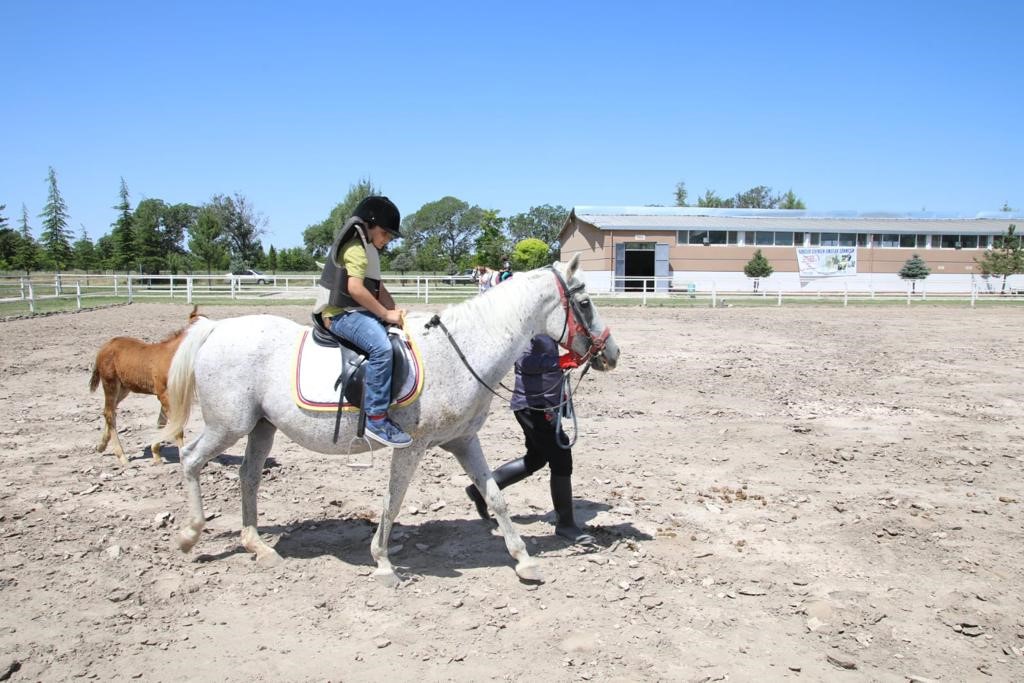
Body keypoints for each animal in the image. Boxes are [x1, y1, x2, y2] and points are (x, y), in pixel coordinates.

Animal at [91, 309, 204, 464]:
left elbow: (161, 422)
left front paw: (156, 453)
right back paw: (122, 456)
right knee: (109, 413)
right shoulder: (164, 394)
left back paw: (101, 446)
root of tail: (104, 347)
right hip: (110, 383)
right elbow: (176, 427)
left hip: (124, 389)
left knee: (109, 411)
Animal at [160, 255, 618, 589]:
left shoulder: (464, 441)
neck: (460, 351)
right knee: (190, 459)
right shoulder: (411, 447)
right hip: (228, 425)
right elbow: (392, 501)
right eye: (585, 302)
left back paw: (257, 545)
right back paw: (190, 535)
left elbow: (496, 496)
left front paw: (524, 560)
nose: (611, 352)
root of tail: (216, 329)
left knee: (248, 477)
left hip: (261, 427)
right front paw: (382, 563)